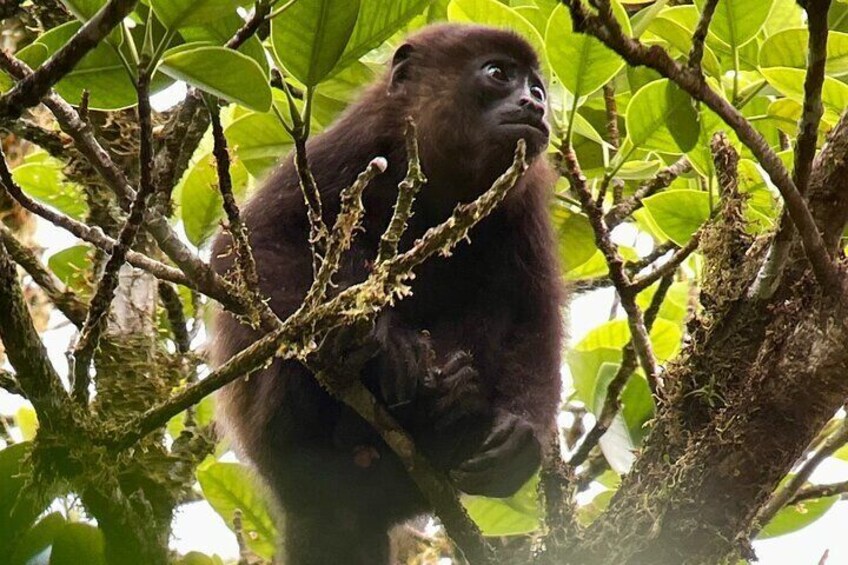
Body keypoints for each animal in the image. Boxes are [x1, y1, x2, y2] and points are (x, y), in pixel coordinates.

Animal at [210, 24, 564, 565]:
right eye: (499, 73)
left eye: (538, 88)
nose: (534, 103)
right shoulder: (356, 144)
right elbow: (250, 246)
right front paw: (377, 342)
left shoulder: (525, 198)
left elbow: (533, 312)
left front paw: (521, 435)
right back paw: (363, 362)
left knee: (494, 301)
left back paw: (448, 406)